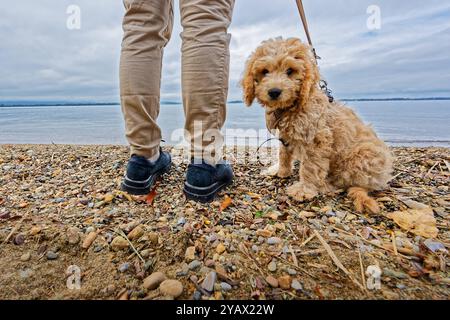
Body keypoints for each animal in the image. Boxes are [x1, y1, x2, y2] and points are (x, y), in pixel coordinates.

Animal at [241, 37, 392, 214]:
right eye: (265, 71)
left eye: (290, 71)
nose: (274, 91)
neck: (292, 107)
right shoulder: (285, 137)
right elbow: (283, 154)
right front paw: (281, 171)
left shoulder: (317, 140)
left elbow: (310, 166)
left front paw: (304, 189)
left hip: (363, 154)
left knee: (347, 182)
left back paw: (326, 184)